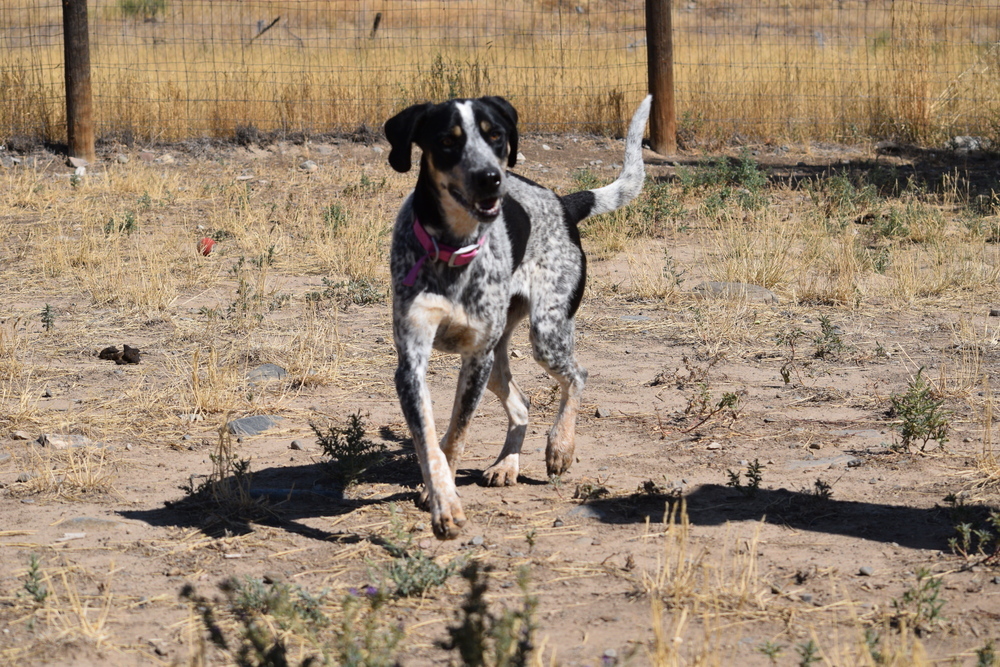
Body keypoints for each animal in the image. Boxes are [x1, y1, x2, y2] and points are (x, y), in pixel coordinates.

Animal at [384, 94, 656, 540]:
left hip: (544, 335)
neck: (454, 248)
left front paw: (445, 493)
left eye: (495, 135)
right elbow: (430, 442)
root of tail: (563, 203)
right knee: (523, 402)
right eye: (447, 140)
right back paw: (506, 464)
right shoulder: (412, 363)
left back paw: (559, 446)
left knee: (577, 376)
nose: (491, 178)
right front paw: (443, 502)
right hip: (497, 361)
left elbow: (456, 435)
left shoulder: (476, 358)